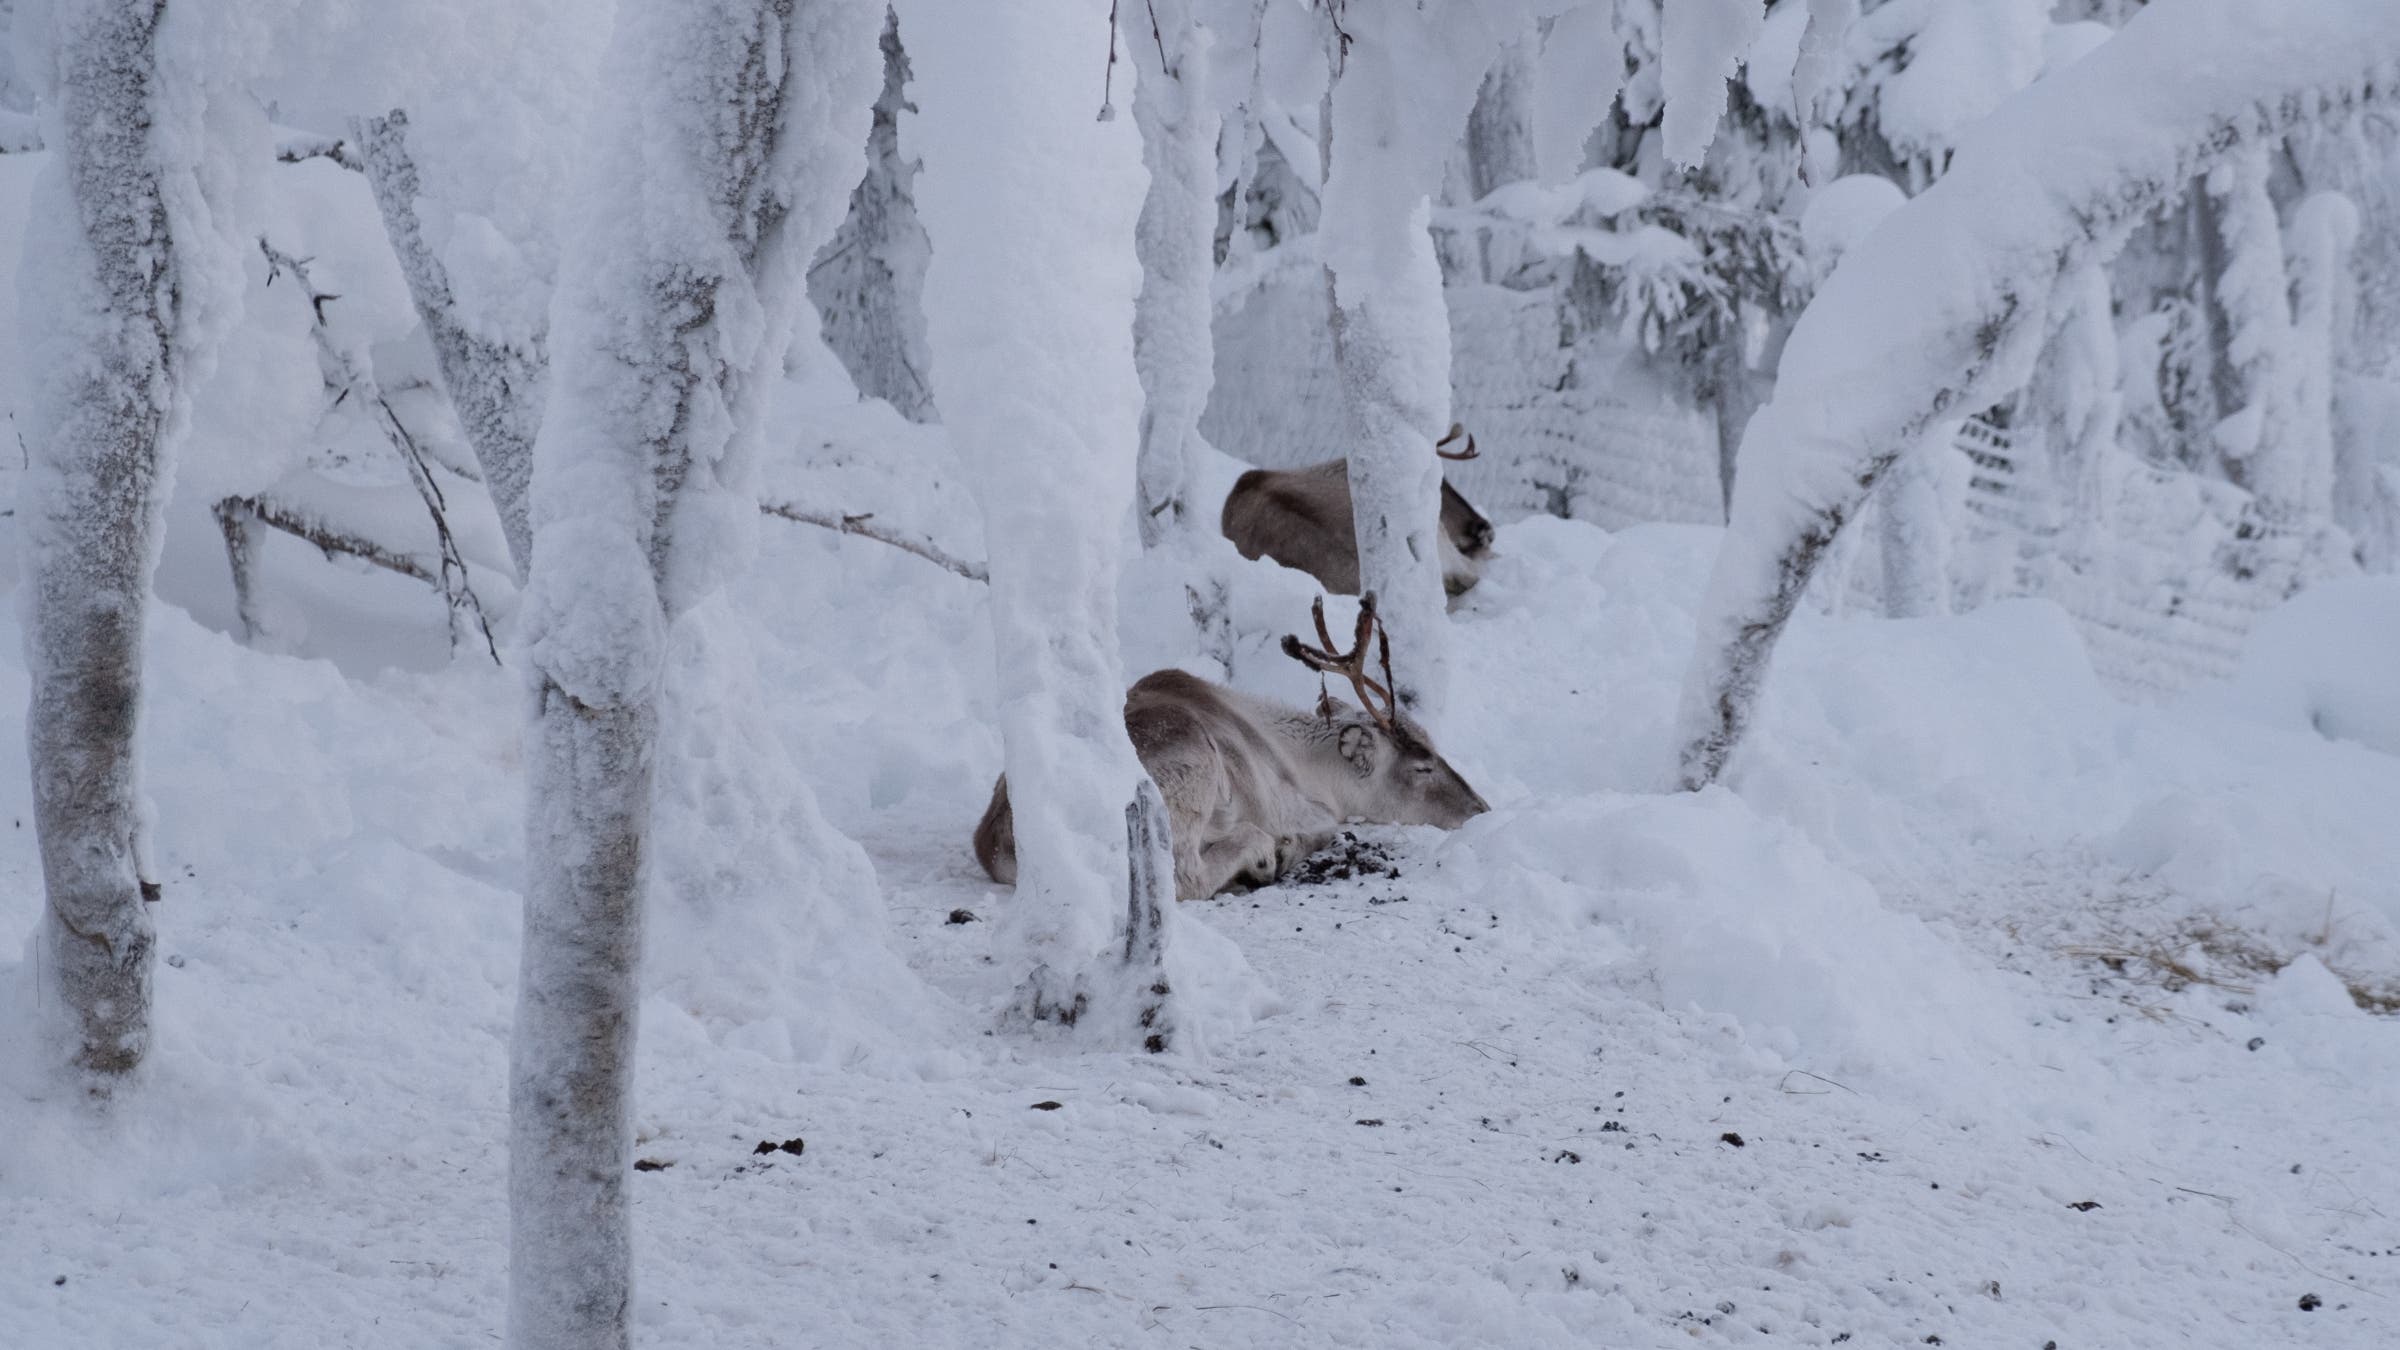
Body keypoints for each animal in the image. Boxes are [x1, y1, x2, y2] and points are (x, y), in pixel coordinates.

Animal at [972, 594, 1489, 900]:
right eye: (1422, 766)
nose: (1481, 808)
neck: (1305, 763)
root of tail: (999, 842)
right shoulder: (1298, 807)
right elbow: (1327, 829)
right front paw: (1284, 850)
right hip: (1189, 776)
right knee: (1185, 876)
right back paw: (1258, 856)